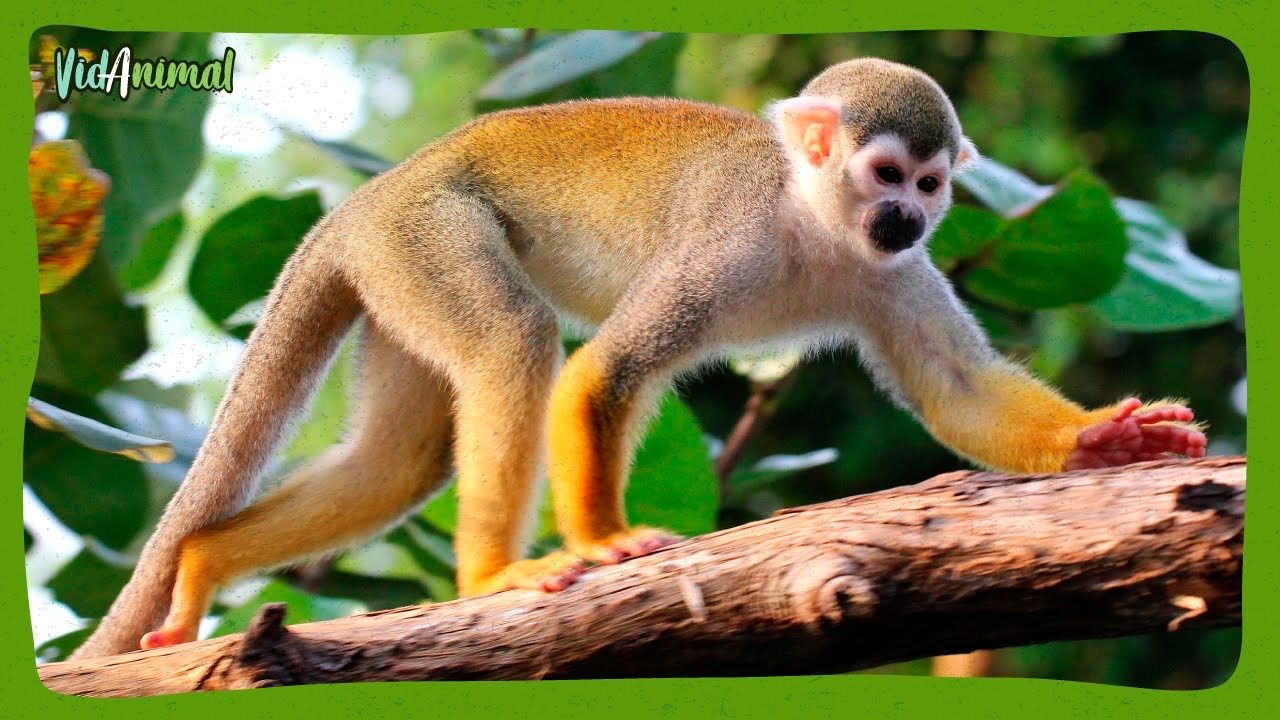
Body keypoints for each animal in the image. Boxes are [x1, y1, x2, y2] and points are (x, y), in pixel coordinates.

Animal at [70, 58, 1207, 659]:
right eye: (886, 173)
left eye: (930, 187)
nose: (904, 216)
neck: (814, 228)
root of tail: (361, 200)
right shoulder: (728, 244)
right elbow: (603, 374)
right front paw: (609, 541)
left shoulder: (895, 273)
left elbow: (956, 389)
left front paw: (1103, 443)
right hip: (427, 235)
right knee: (512, 342)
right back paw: (490, 574)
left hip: (393, 277)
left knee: (398, 462)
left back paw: (204, 560)